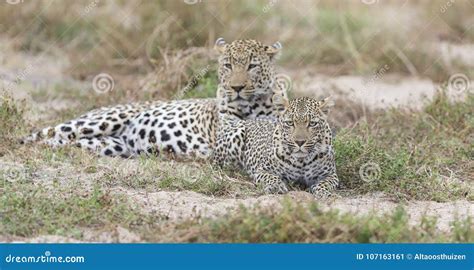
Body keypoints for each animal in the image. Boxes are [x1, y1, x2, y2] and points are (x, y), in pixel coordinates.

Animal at [20, 39, 288, 158]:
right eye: (228, 65)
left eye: (252, 66)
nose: (237, 87)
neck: (252, 105)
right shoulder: (225, 133)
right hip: (102, 120)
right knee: (39, 136)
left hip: (111, 145)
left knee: (65, 143)